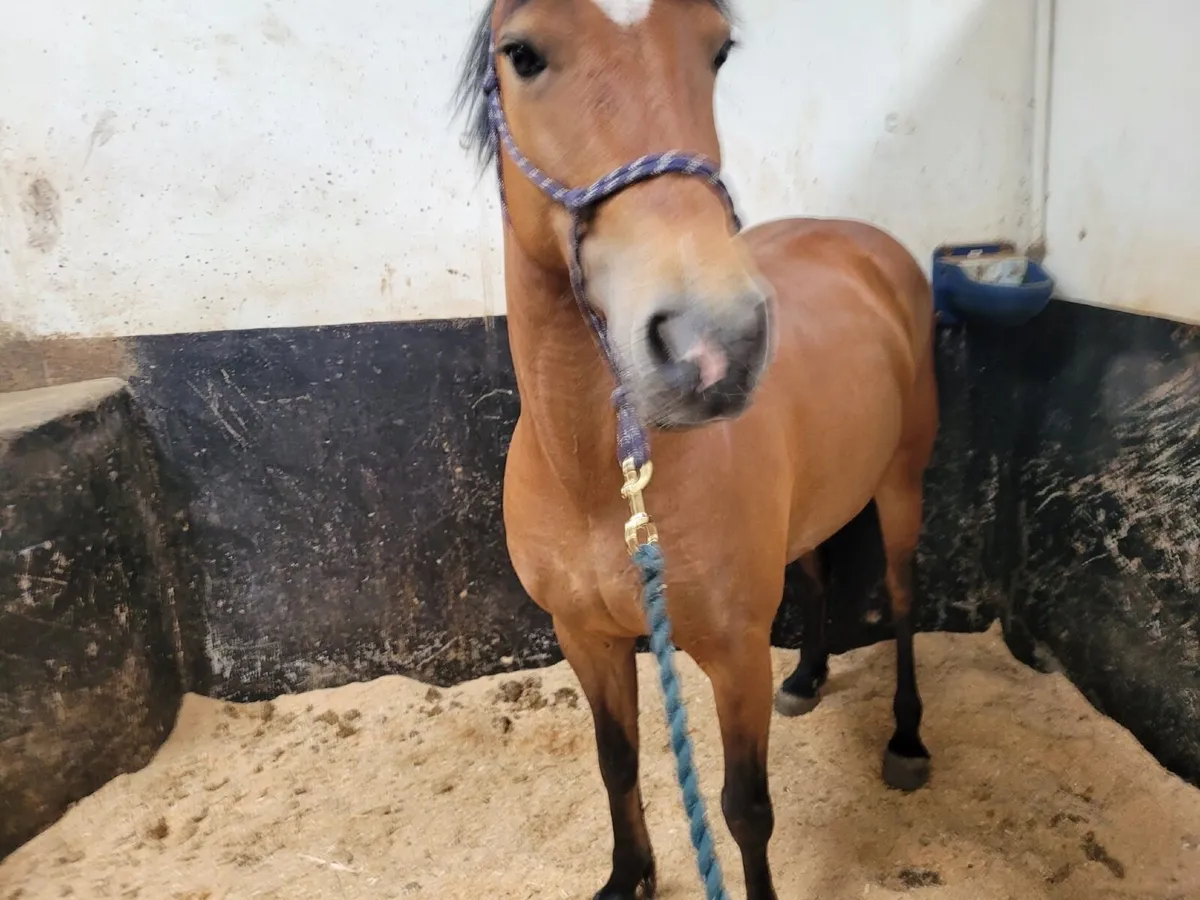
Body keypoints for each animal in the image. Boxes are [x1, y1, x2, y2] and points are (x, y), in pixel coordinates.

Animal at [453, 2, 939, 898]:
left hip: (901, 486)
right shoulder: (586, 637)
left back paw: (907, 740)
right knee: (816, 575)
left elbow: (745, 808)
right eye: (522, 53)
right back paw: (808, 678)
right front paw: (627, 876)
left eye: (718, 51)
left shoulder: (735, 654)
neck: (603, 478)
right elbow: (617, 762)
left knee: (901, 598)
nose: (713, 345)